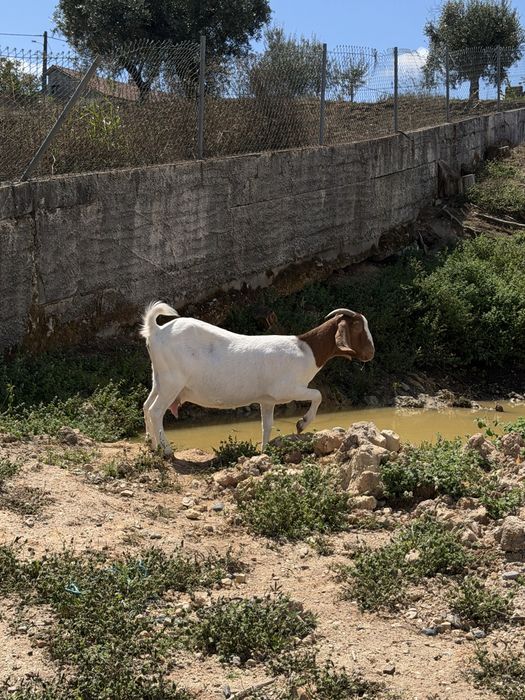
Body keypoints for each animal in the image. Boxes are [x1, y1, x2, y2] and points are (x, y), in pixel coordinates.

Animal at [141, 301, 375, 456]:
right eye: (357, 326)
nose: (371, 353)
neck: (307, 351)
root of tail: (156, 331)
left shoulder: (267, 400)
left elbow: (267, 425)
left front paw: (264, 451)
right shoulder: (288, 389)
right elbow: (318, 395)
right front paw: (302, 423)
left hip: (159, 379)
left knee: (146, 406)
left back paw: (151, 445)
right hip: (172, 382)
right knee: (156, 411)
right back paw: (166, 450)